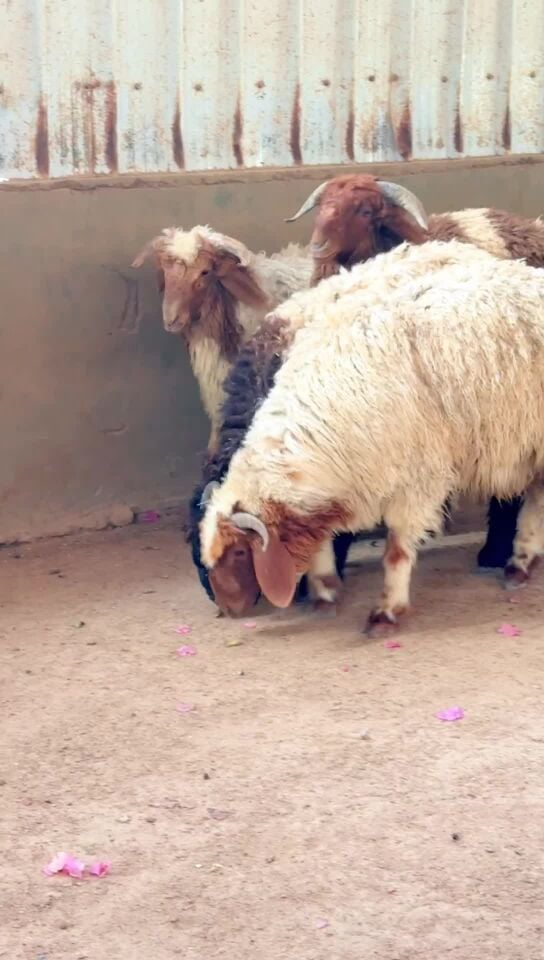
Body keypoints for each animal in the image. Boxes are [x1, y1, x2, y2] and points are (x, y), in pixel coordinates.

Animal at [198, 239, 544, 634]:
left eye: (241, 551)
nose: (227, 610)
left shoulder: (417, 482)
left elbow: (396, 553)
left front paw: (387, 611)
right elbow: (321, 540)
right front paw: (325, 591)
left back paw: (515, 560)